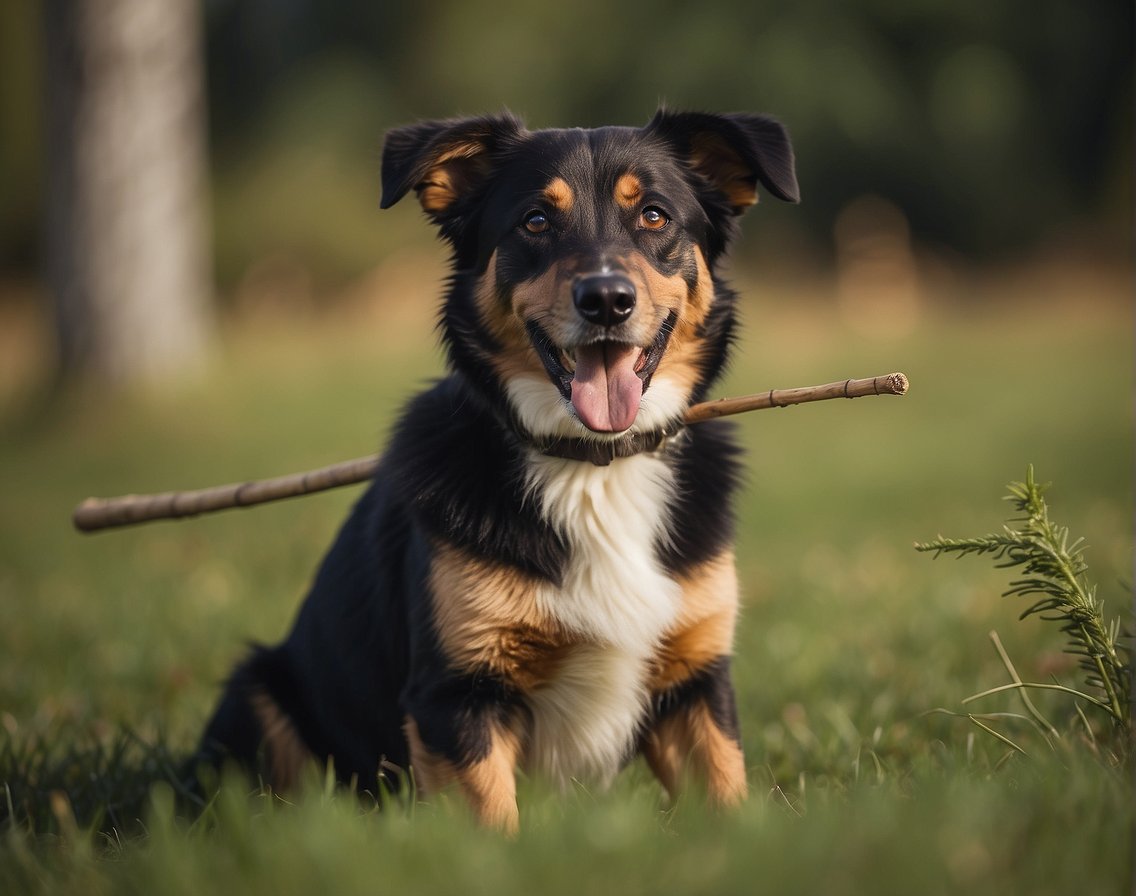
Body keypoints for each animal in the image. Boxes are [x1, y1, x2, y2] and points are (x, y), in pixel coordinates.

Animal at [197, 108, 799, 826]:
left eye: (654, 216)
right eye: (535, 221)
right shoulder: (458, 694)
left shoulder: (694, 680)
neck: (592, 465)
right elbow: (493, 825)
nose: (606, 300)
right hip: (258, 691)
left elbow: (725, 799)